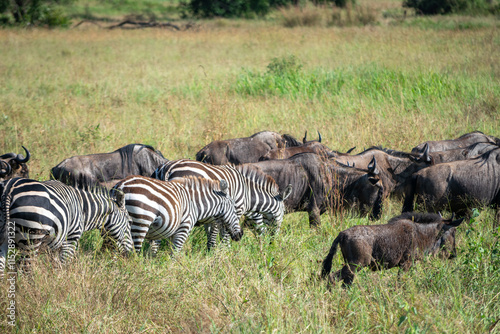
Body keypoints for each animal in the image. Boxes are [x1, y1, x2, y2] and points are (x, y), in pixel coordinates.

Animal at [0, 177, 134, 274]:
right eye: (130, 222)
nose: (131, 254)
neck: (83, 209)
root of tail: (9, 188)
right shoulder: (70, 239)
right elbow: (62, 267)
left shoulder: (54, 245)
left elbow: (55, 267)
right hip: (31, 239)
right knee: (25, 271)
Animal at [112, 175, 244, 253]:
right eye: (234, 208)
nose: (241, 234)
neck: (195, 203)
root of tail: (120, 185)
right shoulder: (183, 229)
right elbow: (175, 255)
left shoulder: (171, 232)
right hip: (140, 224)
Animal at [152, 160, 292, 250]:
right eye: (282, 215)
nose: (271, 243)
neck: (247, 193)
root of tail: (167, 168)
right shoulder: (234, 210)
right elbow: (225, 233)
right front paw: (226, 251)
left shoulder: (213, 214)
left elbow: (213, 233)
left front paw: (212, 251)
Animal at [322, 214, 462, 288]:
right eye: (454, 232)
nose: (454, 255)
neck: (419, 233)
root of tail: (342, 234)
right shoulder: (406, 264)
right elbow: (401, 282)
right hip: (356, 265)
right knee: (332, 277)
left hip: (352, 267)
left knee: (345, 284)